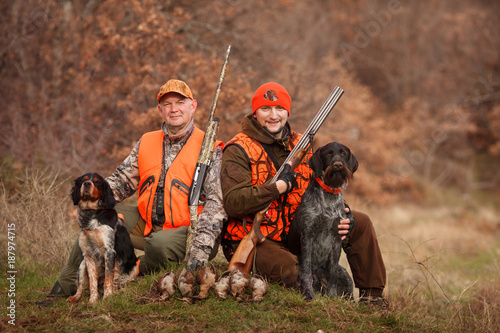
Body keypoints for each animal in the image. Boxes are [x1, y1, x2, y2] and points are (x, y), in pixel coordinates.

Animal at [66, 172, 138, 302]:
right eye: (82, 180)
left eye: (97, 181)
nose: (87, 183)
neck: (91, 214)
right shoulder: (88, 255)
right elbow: (92, 282)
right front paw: (93, 301)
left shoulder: (109, 251)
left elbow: (108, 278)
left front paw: (107, 297)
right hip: (82, 265)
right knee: (80, 286)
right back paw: (74, 298)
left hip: (132, 269)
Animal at [288, 141, 358, 300]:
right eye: (328, 153)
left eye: (343, 153)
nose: (338, 165)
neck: (329, 194)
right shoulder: (307, 235)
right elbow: (306, 271)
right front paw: (308, 294)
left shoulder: (337, 238)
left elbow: (333, 274)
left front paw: (333, 297)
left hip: (345, 275)